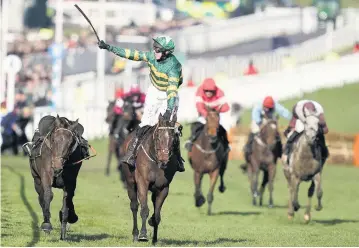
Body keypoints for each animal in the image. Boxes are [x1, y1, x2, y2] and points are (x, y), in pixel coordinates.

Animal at [120, 112, 181, 244]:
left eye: (173, 139)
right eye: (158, 136)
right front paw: (143, 234)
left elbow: (157, 215)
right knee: (134, 206)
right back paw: (135, 234)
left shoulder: (163, 187)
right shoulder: (142, 182)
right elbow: (144, 209)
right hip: (130, 183)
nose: (164, 160)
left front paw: (154, 238)